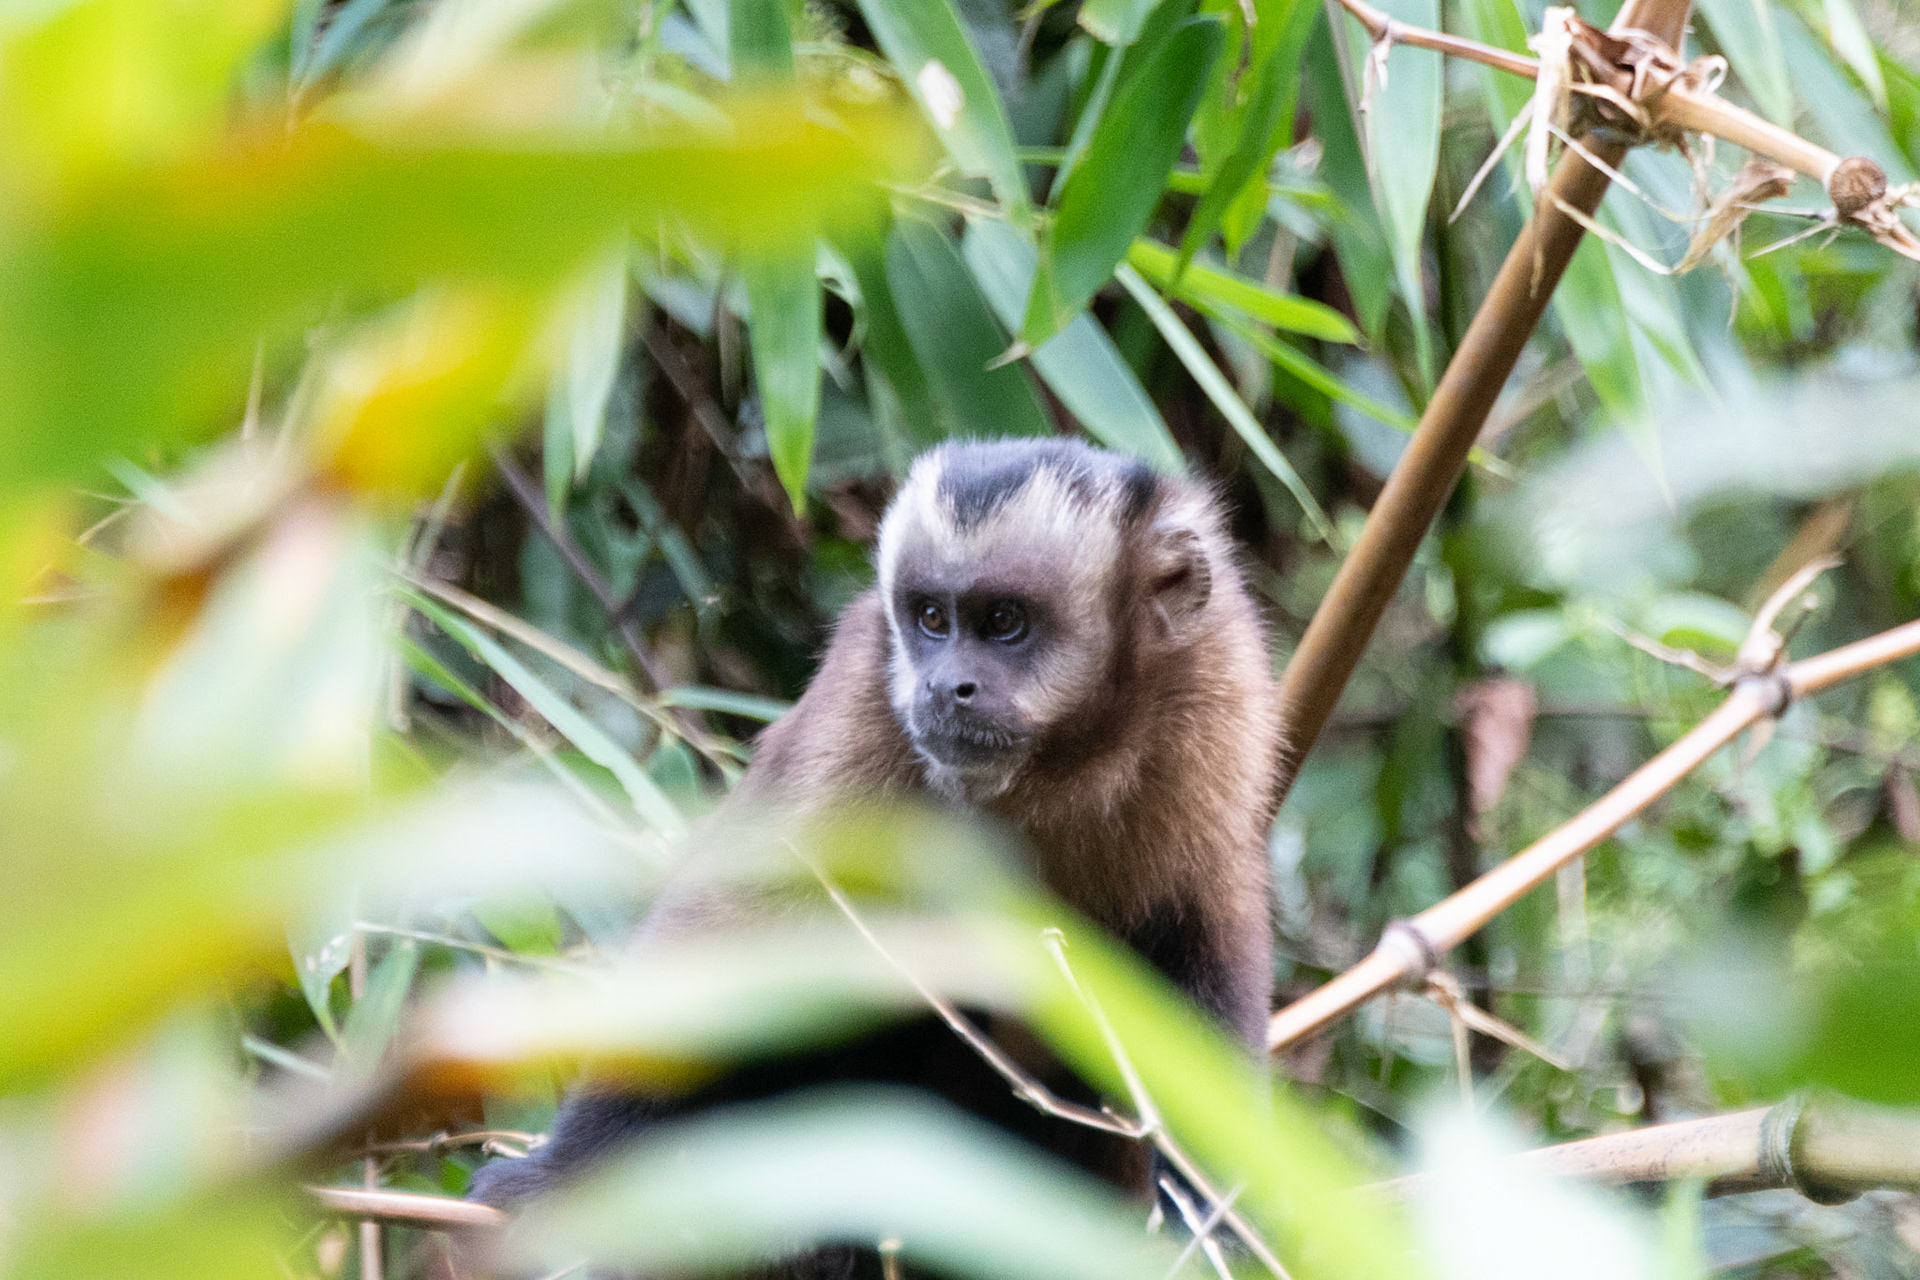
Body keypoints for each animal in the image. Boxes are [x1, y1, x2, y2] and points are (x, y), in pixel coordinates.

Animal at [469, 439, 1284, 1265]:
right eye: (930, 618)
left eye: (1004, 623)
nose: (944, 686)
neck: (1059, 769)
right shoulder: (863, 705)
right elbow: (735, 938)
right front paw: (569, 1177)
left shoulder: (1219, 697)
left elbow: (1198, 955)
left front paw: (1215, 1222)